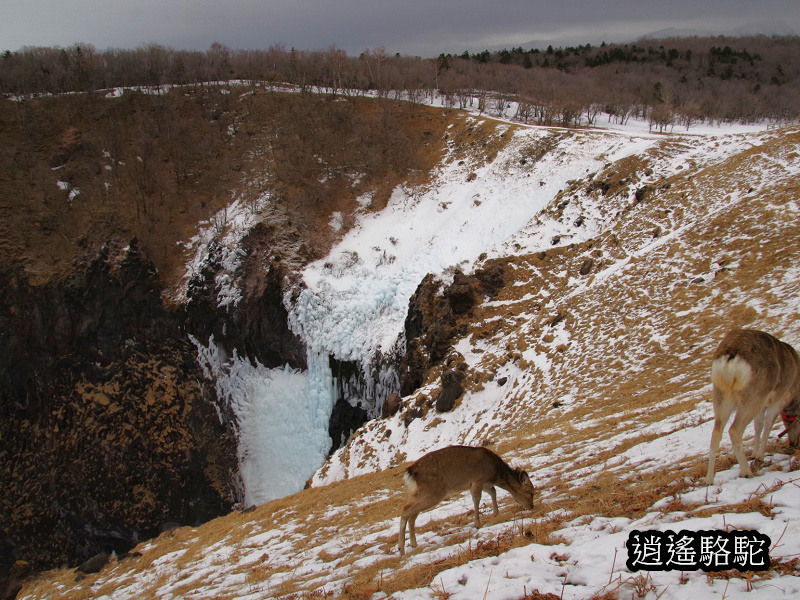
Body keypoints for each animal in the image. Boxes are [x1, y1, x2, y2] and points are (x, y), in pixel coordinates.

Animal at [396, 442, 536, 556]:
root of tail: (410, 472)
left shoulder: (485, 483)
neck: (496, 473)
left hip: (422, 494)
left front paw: (495, 513)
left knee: (412, 514)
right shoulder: (477, 480)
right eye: (530, 493)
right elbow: (477, 499)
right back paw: (401, 549)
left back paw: (413, 544)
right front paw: (477, 524)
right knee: (405, 509)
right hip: (433, 492)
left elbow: (493, 492)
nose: (532, 506)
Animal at [708, 328, 800, 482]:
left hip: (721, 396)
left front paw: (754, 454)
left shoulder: (763, 406)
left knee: (716, 432)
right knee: (734, 429)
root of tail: (730, 356)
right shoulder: (777, 401)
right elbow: (768, 424)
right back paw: (747, 472)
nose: (794, 443)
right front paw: (760, 456)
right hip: (754, 396)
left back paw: (709, 480)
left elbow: (758, 425)